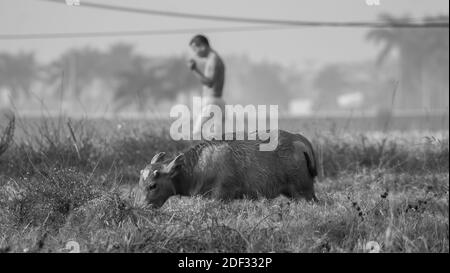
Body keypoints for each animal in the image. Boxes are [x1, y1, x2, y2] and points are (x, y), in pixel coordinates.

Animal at [133, 129, 316, 207]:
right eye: (140, 184)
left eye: (153, 185)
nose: (141, 206)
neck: (200, 165)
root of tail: (299, 139)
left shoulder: (221, 196)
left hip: (303, 191)